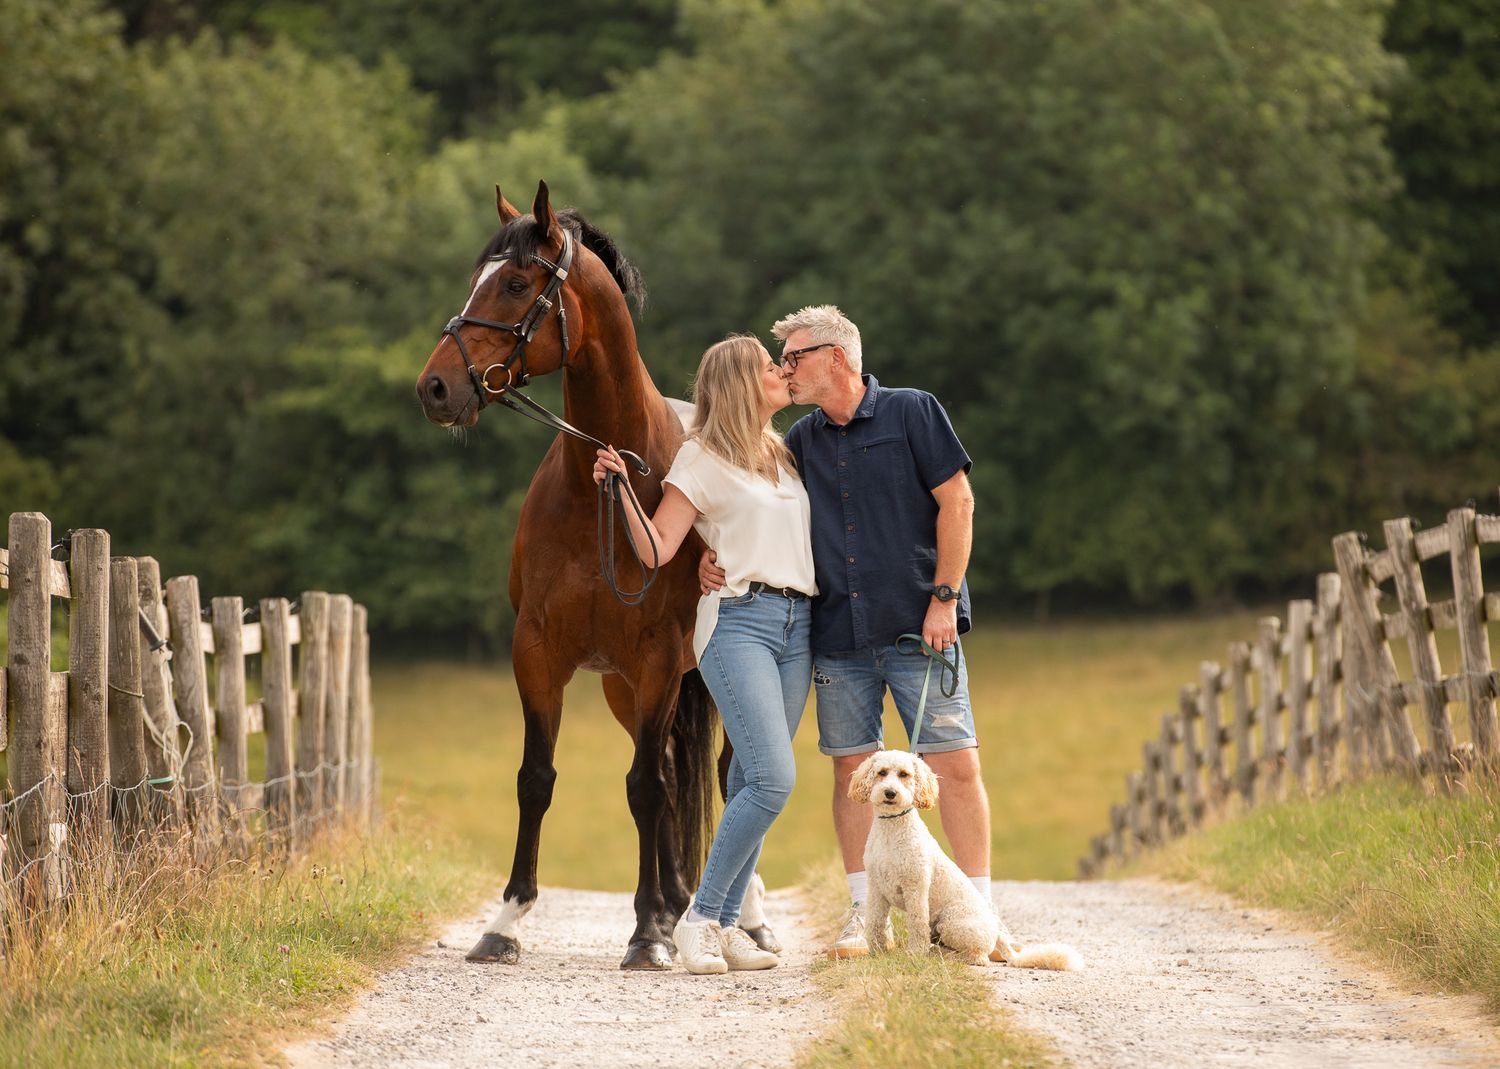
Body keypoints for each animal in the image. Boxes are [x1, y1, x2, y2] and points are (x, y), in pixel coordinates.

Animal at [416, 181, 759, 970]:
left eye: (516, 283)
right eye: (478, 276)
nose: (436, 388)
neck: (602, 484)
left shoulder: (658, 658)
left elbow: (646, 789)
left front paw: (646, 935)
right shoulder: (540, 651)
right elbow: (537, 779)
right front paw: (507, 921)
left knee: (722, 776)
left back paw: (737, 920)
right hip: (622, 689)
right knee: (672, 772)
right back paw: (673, 902)